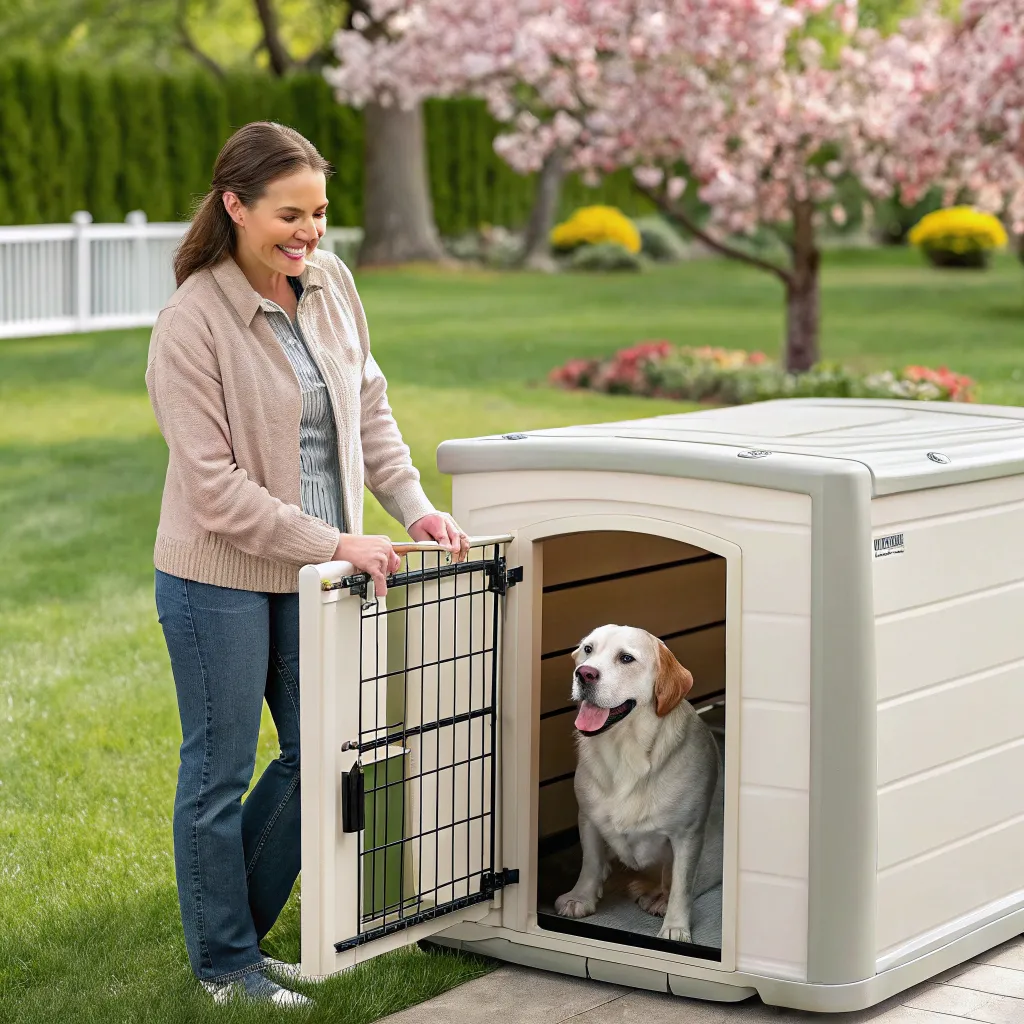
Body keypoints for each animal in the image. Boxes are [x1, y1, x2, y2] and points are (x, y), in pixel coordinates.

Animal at [557, 618, 724, 937]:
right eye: (588, 649)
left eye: (626, 658)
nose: (584, 674)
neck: (624, 752)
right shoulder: (588, 817)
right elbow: (591, 862)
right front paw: (581, 897)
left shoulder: (687, 834)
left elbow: (681, 884)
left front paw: (675, 927)